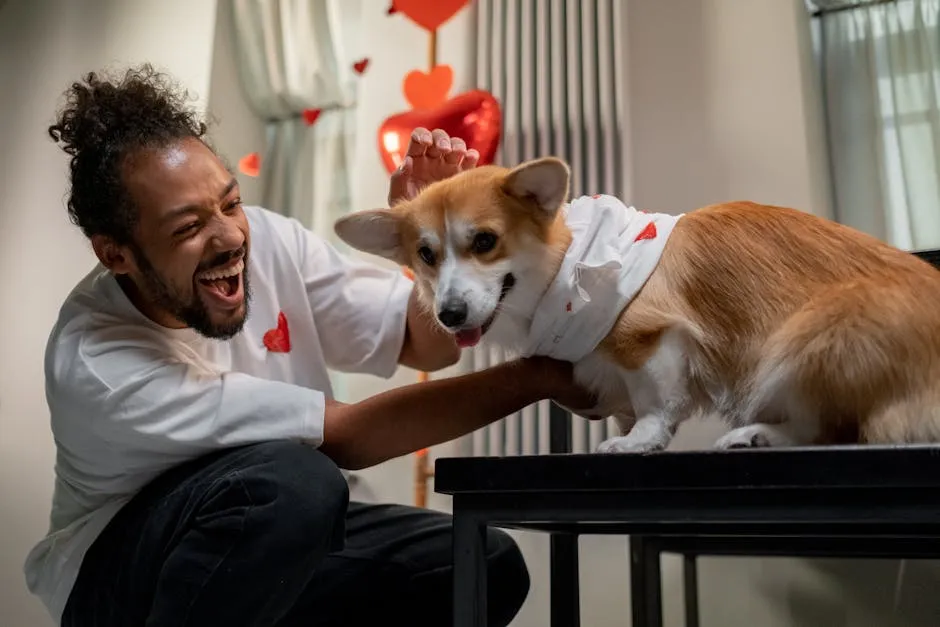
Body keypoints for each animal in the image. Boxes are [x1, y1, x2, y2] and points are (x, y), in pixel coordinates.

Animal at [336, 156, 940, 452]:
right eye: (426, 255)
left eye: (484, 241)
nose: (449, 316)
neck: (565, 268)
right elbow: (627, 401)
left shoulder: (649, 339)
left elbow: (655, 402)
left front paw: (637, 441)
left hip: (813, 331)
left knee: (834, 427)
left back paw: (760, 435)